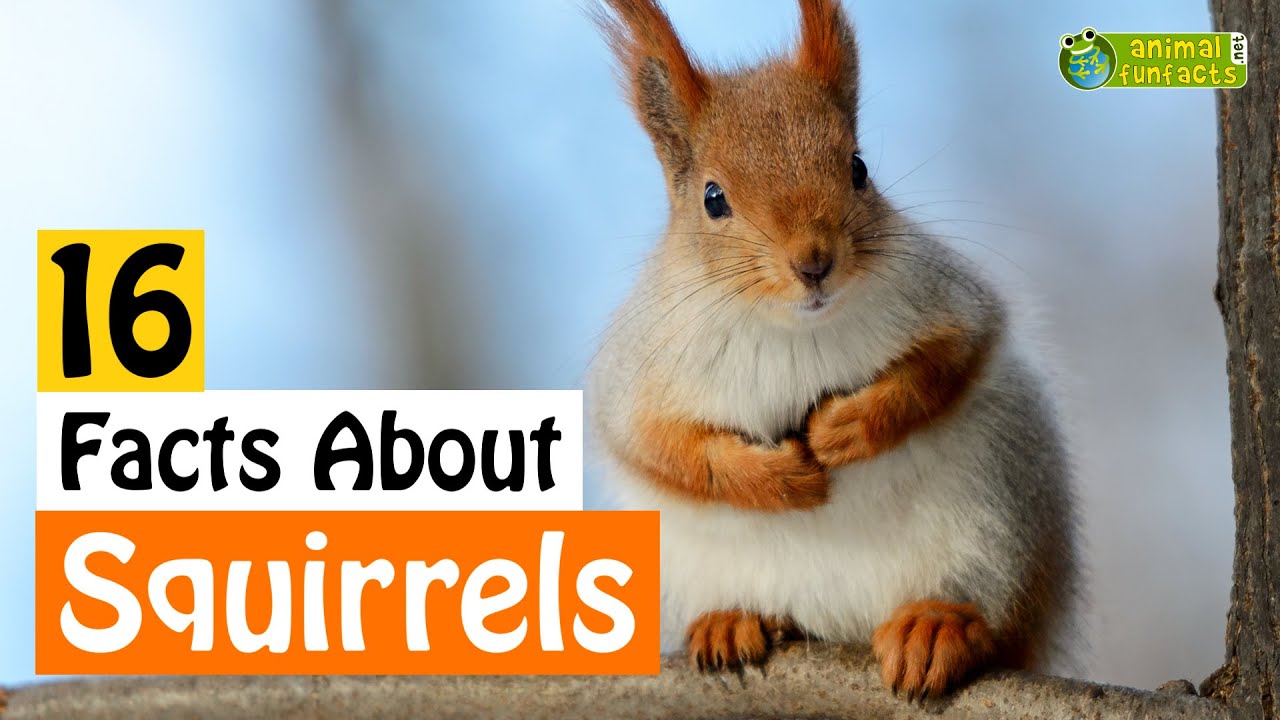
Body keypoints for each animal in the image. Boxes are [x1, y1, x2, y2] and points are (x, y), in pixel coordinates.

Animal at [587, 0, 1081, 698]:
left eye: (858, 166)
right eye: (713, 198)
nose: (814, 262)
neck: (794, 326)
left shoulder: (952, 303)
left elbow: (942, 364)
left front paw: (848, 429)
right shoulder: (636, 377)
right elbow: (665, 447)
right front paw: (774, 477)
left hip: (997, 516)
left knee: (989, 608)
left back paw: (937, 623)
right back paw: (730, 621)